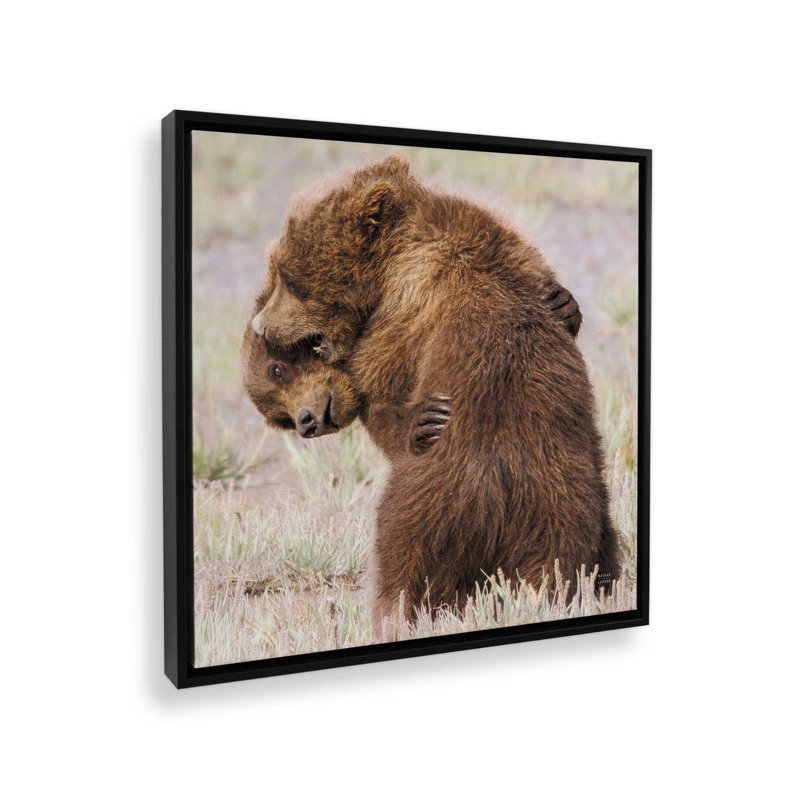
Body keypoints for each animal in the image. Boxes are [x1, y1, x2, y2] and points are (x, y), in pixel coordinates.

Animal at [250, 154, 620, 633]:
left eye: (291, 278)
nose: (260, 325)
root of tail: (497, 488)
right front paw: (563, 305)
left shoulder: (400, 319)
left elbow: (385, 389)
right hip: (567, 505)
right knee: (570, 561)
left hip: (430, 503)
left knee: (402, 559)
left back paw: (392, 613)